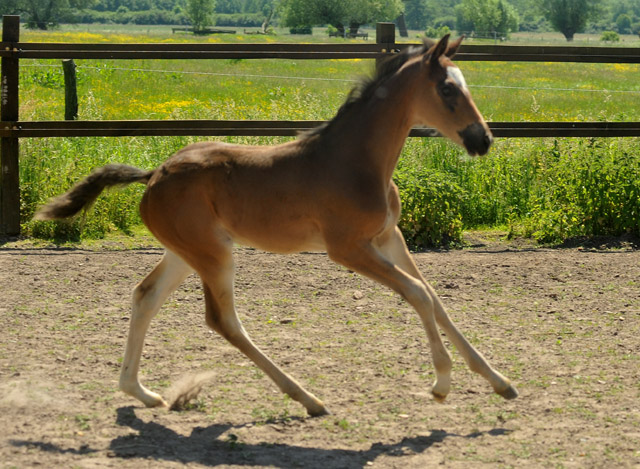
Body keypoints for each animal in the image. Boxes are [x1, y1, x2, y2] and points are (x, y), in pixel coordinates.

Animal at [35, 36, 516, 414]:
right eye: (447, 88)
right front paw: (442, 383)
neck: (356, 160)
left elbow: (434, 297)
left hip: (184, 251)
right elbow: (417, 293)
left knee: (145, 296)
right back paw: (308, 398)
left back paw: (141, 392)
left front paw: (499, 381)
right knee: (222, 320)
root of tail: (154, 175)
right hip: (213, 254)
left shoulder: (387, 236)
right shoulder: (347, 248)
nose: (483, 139)